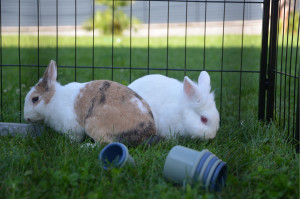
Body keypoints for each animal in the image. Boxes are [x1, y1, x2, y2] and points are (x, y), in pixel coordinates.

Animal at [23, 59, 157, 145]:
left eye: (35, 99)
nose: (26, 118)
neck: (53, 100)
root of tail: (148, 131)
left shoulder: (73, 128)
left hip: (94, 125)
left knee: (104, 143)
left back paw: (86, 147)